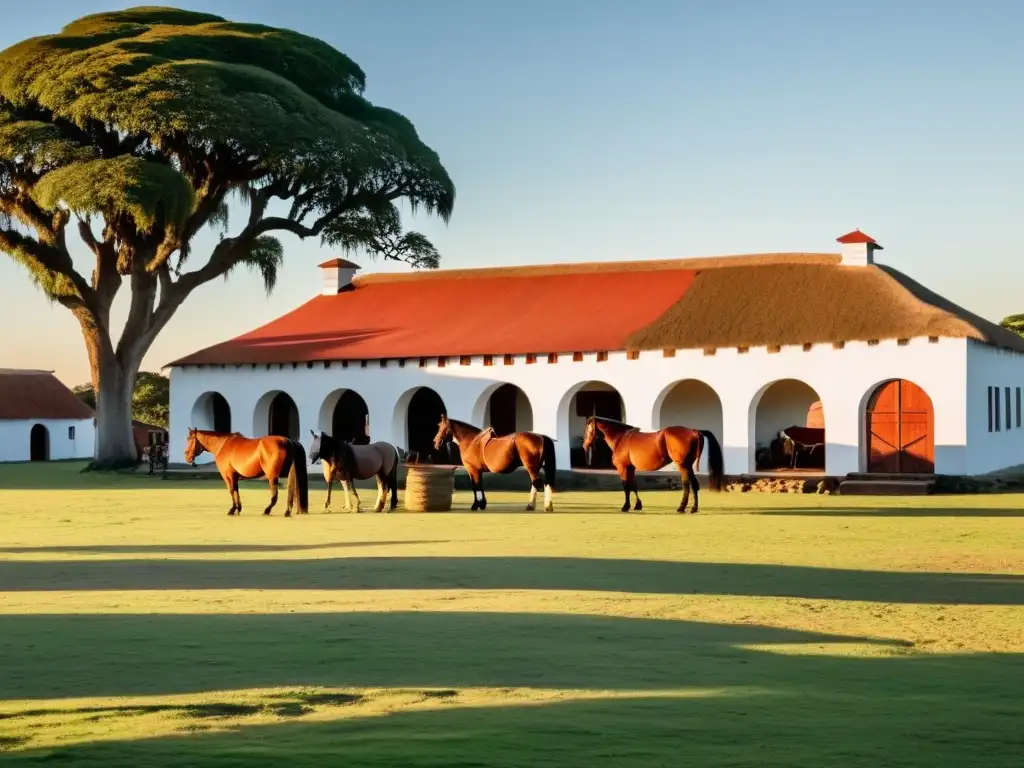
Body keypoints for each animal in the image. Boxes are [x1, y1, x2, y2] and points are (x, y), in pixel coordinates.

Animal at [581, 417, 724, 514]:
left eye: (587, 429)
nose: (585, 445)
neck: (621, 438)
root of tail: (694, 431)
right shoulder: (631, 468)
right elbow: (634, 486)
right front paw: (638, 505)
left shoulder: (622, 467)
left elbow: (626, 486)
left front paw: (626, 506)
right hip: (688, 465)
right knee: (694, 485)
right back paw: (693, 508)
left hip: (682, 465)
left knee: (687, 485)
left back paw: (682, 507)